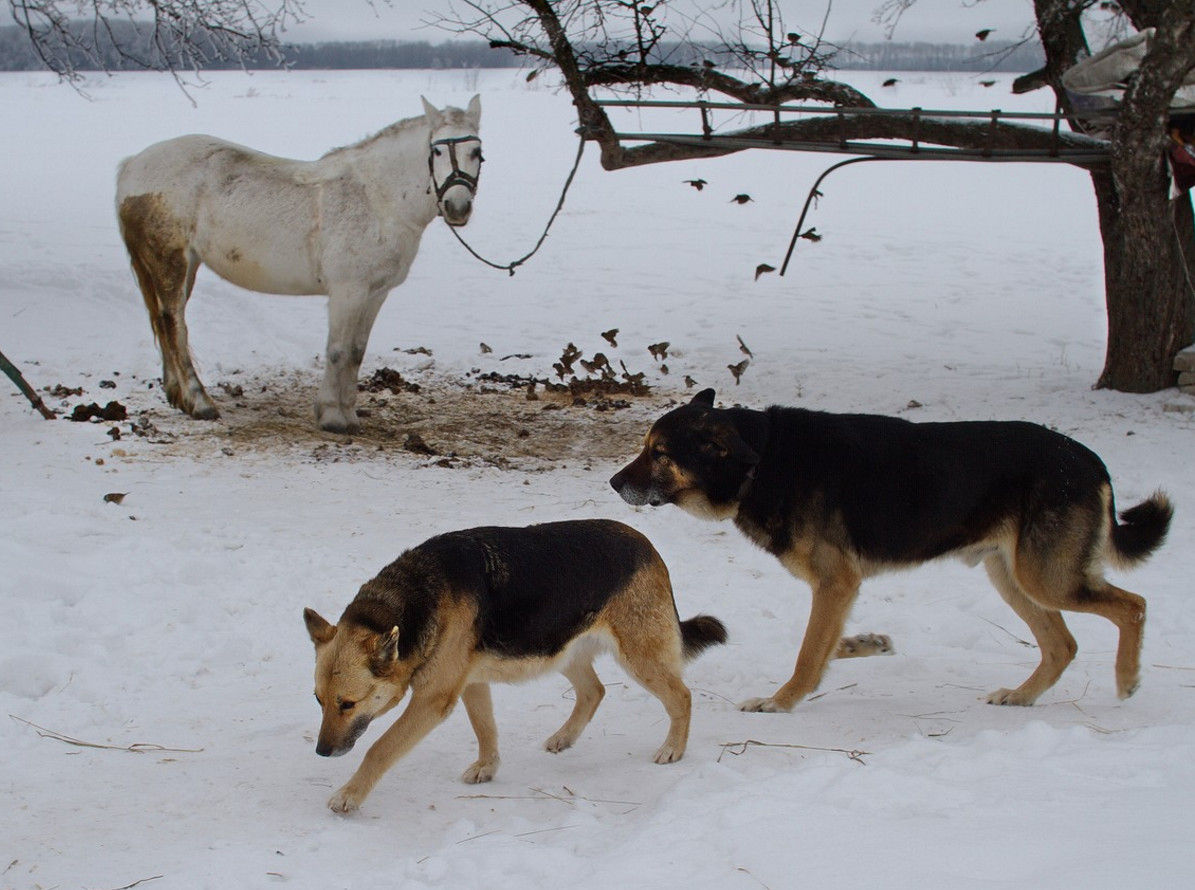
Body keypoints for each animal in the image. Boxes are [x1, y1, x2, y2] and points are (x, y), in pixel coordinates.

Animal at [115, 95, 480, 432]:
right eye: (436, 151)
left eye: (476, 151)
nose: (457, 206)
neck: (376, 199)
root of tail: (133, 165)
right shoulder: (348, 291)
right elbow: (338, 350)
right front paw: (333, 417)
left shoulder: (375, 293)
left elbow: (356, 352)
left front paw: (348, 413)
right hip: (170, 262)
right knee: (173, 323)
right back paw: (199, 401)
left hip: (184, 264)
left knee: (164, 323)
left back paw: (179, 397)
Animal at [303, 513, 721, 812]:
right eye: (319, 702)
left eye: (347, 704)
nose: (321, 752)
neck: (416, 597)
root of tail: (646, 544)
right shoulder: (470, 684)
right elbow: (486, 730)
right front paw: (488, 767)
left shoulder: (432, 700)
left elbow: (379, 748)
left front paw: (350, 794)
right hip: (560, 647)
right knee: (595, 691)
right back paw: (565, 737)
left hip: (638, 658)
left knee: (681, 697)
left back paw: (673, 748)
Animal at [611, 389, 1171, 716]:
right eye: (646, 447)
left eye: (659, 453)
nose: (613, 483)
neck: (761, 459)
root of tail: (1090, 460)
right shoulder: (838, 589)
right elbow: (822, 645)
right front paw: (864, 645)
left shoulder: (836, 582)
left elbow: (808, 649)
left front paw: (782, 700)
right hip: (1012, 578)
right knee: (1063, 645)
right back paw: (1022, 694)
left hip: (1045, 578)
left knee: (1134, 606)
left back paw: (1127, 680)